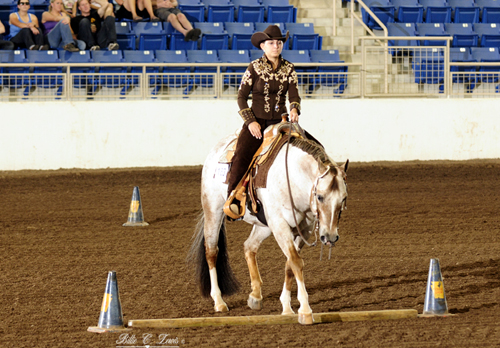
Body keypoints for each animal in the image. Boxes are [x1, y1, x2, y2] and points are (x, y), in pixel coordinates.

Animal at [189, 123, 350, 324]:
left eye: (343, 199)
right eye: (320, 196)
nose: (330, 237)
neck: (292, 179)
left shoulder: (302, 230)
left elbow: (290, 264)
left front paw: (287, 308)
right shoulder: (280, 225)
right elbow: (296, 262)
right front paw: (305, 310)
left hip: (264, 225)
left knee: (249, 246)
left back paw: (256, 296)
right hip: (213, 210)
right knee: (211, 251)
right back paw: (219, 301)